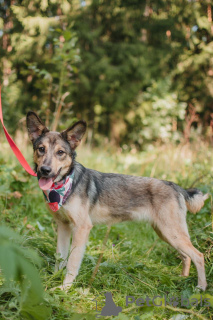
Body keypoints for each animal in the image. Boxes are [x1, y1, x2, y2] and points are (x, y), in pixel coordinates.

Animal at [26, 111, 208, 292]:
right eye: (41, 149)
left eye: (60, 152)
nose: (45, 170)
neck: (66, 184)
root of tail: (176, 186)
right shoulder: (63, 226)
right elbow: (60, 258)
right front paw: (54, 280)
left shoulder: (82, 228)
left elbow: (72, 263)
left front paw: (65, 288)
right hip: (166, 233)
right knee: (186, 257)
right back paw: (181, 279)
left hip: (172, 233)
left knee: (198, 255)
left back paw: (201, 287)